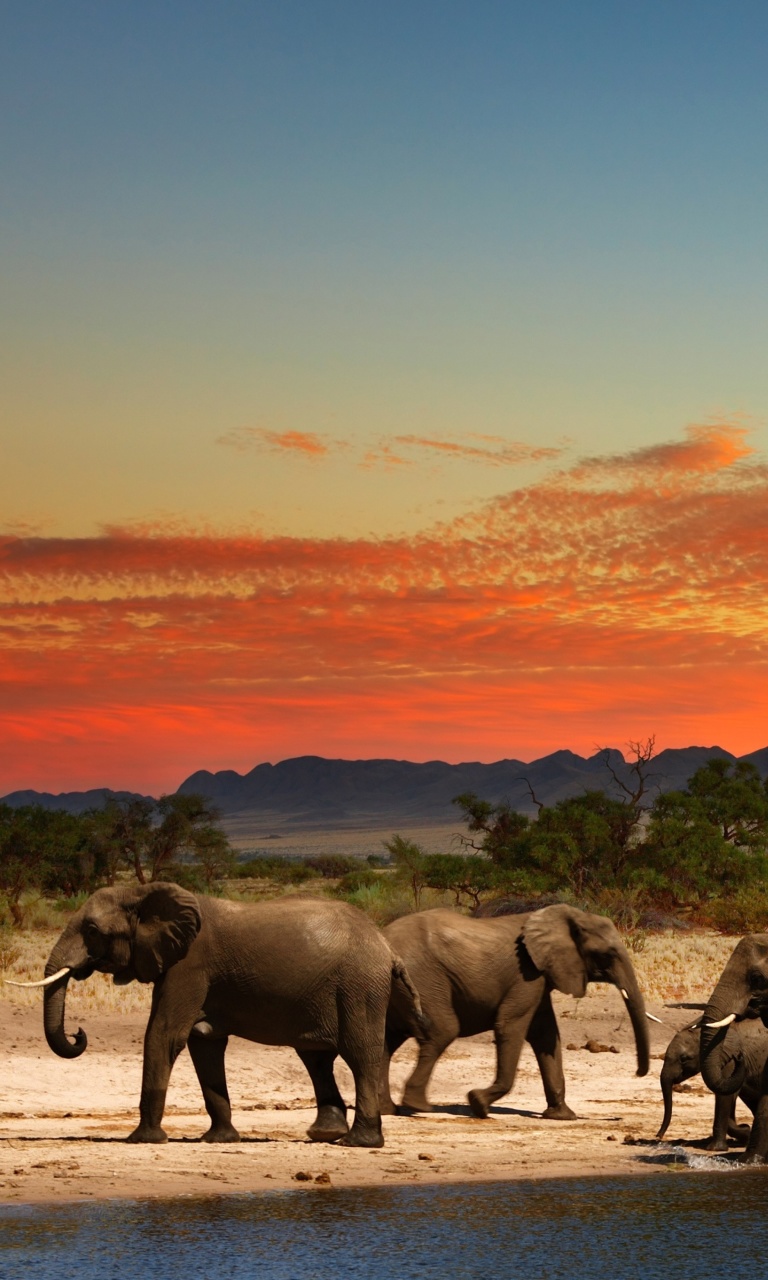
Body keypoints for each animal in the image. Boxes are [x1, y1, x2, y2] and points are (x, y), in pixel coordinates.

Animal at [13, 885, 424, 1146]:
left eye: (92, 930)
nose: (78, 1033)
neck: (143, 892)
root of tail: (387, 948)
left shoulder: (189, 966)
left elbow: (164, 1034)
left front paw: (142, 1140)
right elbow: (204, 1045)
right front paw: (218, 1139)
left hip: (358, 986)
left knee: (359, 1054)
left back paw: (358, 1143)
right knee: (316, 1057)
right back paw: (325, 1134)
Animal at [378, 901, 647, 1121]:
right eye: (608, 955)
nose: (638, 1073)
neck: (569, 917)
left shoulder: (539, 976)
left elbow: (546, 1035)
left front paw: (562, 1116)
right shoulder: (526, 975)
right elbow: (510, 1026)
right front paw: (478, 1103)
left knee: (386, 1041)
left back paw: (389, 1109)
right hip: (421, 979)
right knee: (442, 1031)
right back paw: (420, 1107)